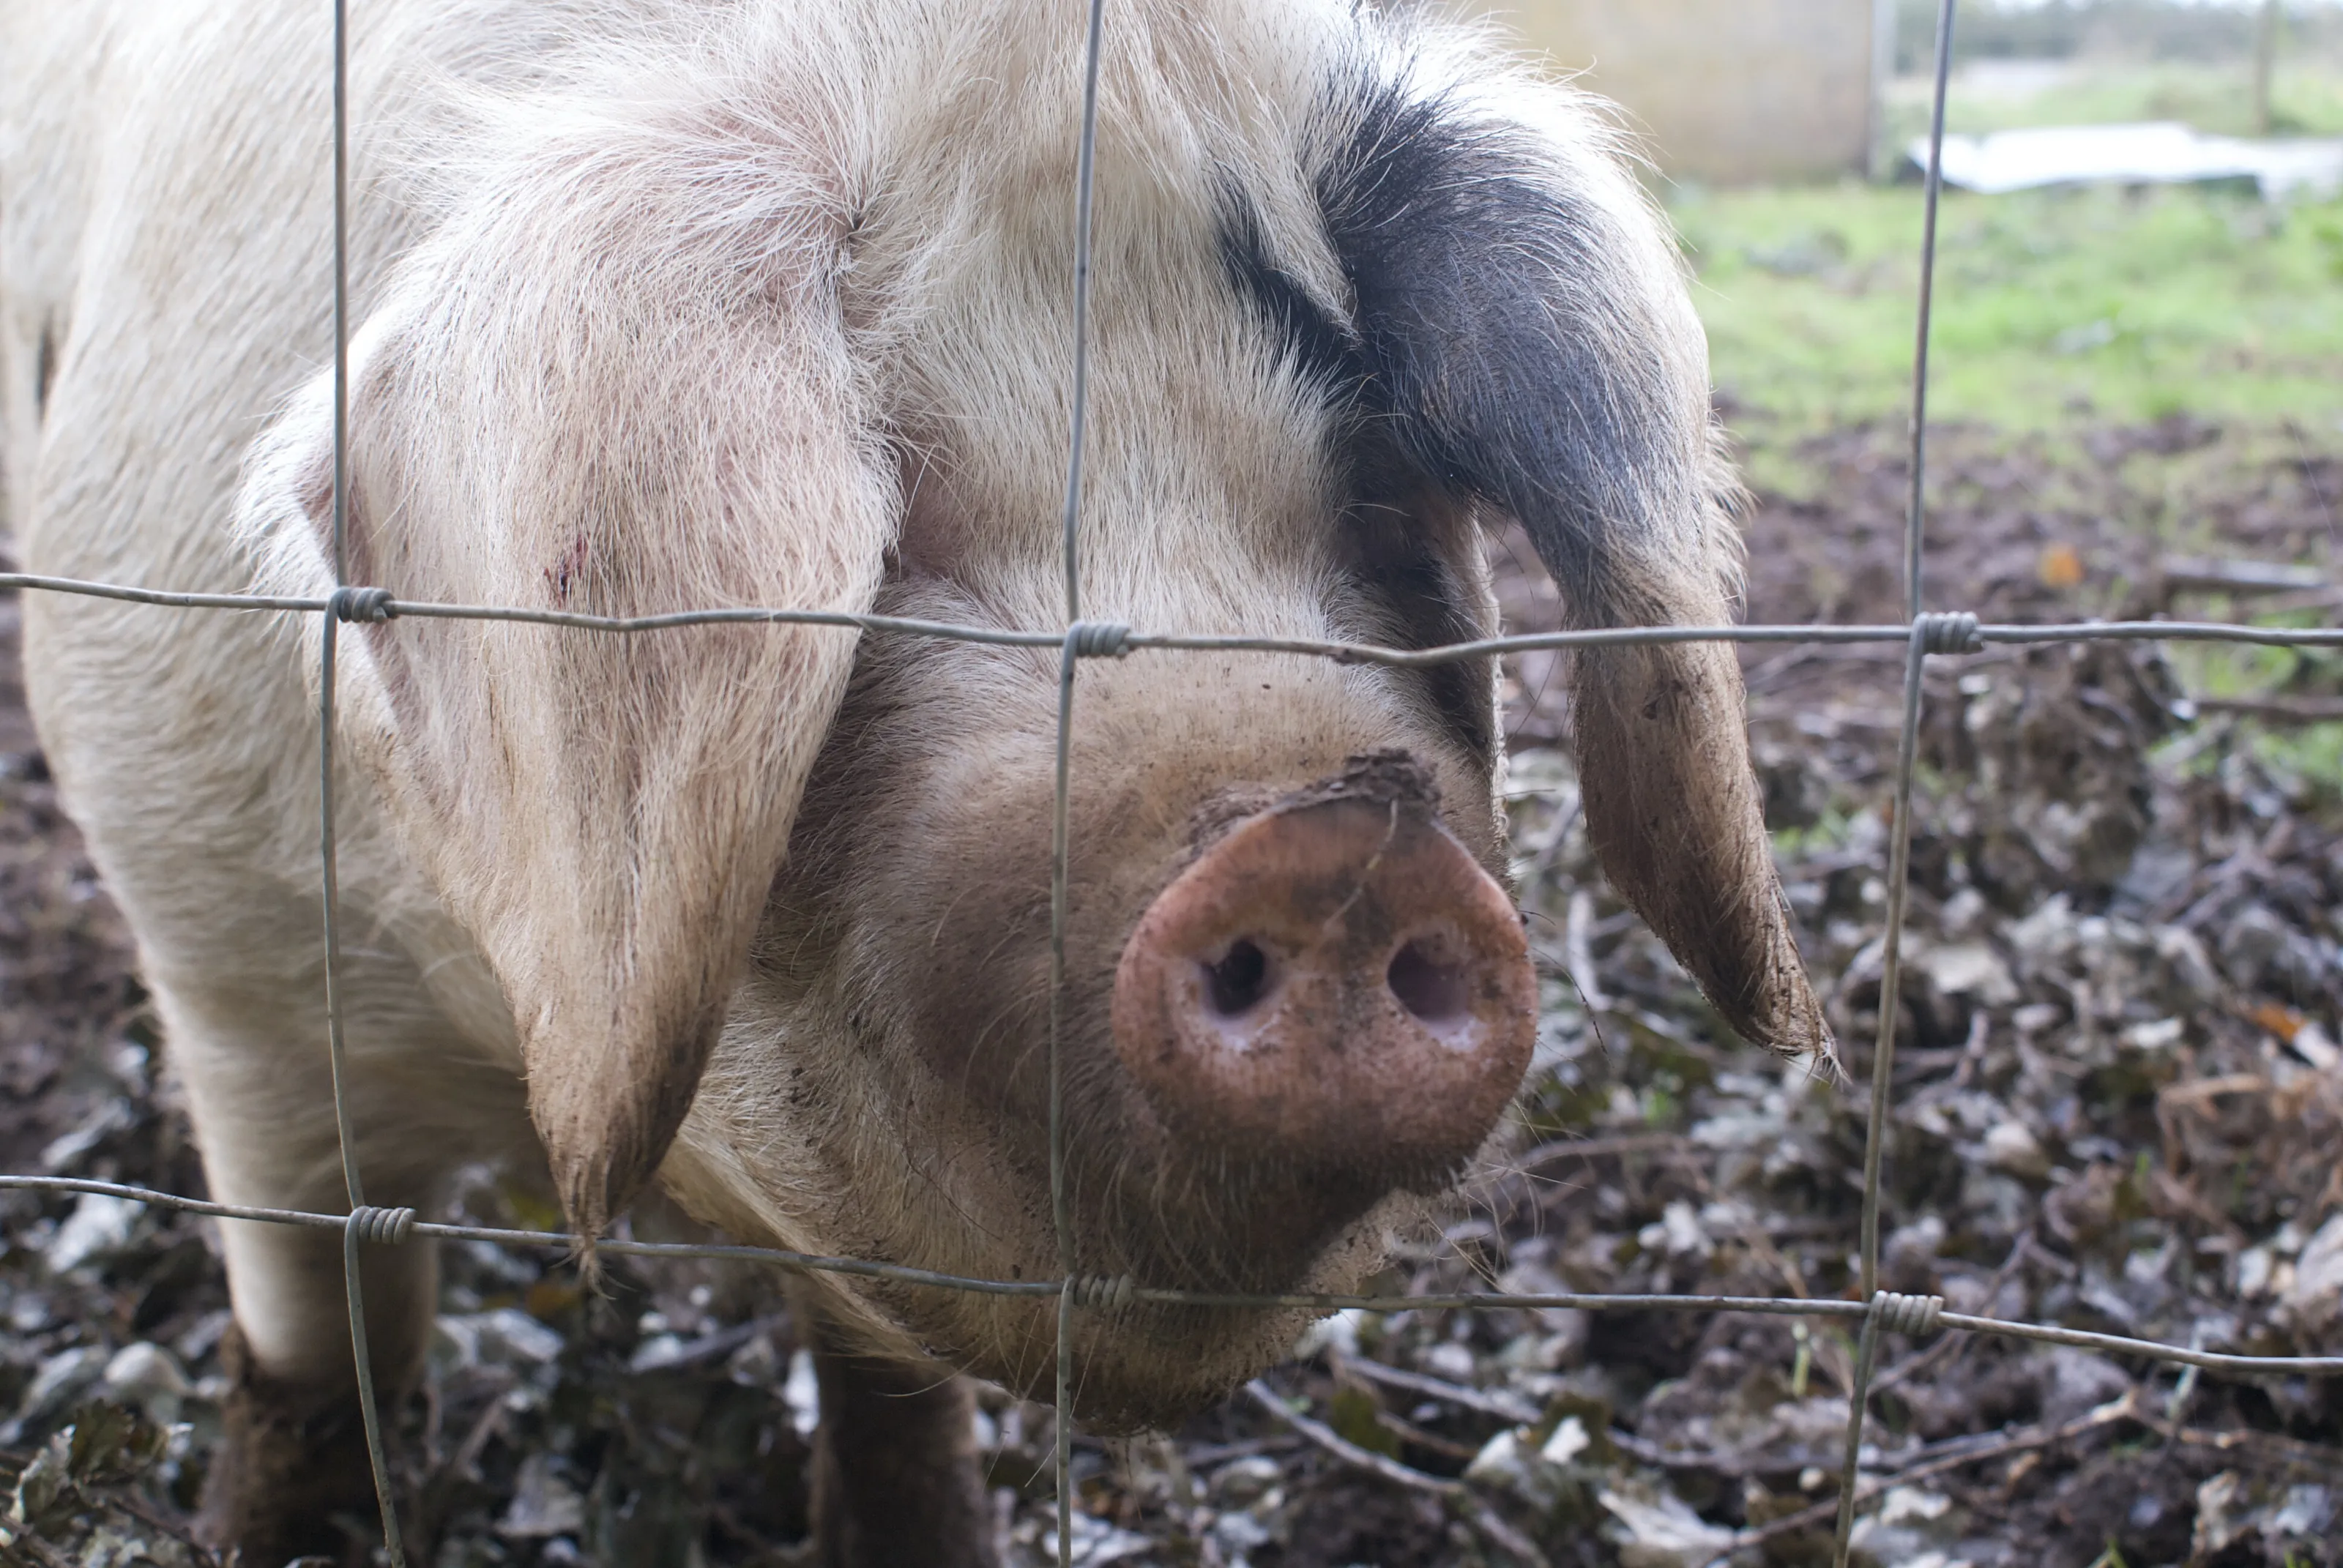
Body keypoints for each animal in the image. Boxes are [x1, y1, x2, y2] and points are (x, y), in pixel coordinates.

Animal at [0, 0, 1830, 1562]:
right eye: (883, 527)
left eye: (1376, 491)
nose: (1337, 842)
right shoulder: (220, 950)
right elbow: (315, 1371)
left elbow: (890, 1397)